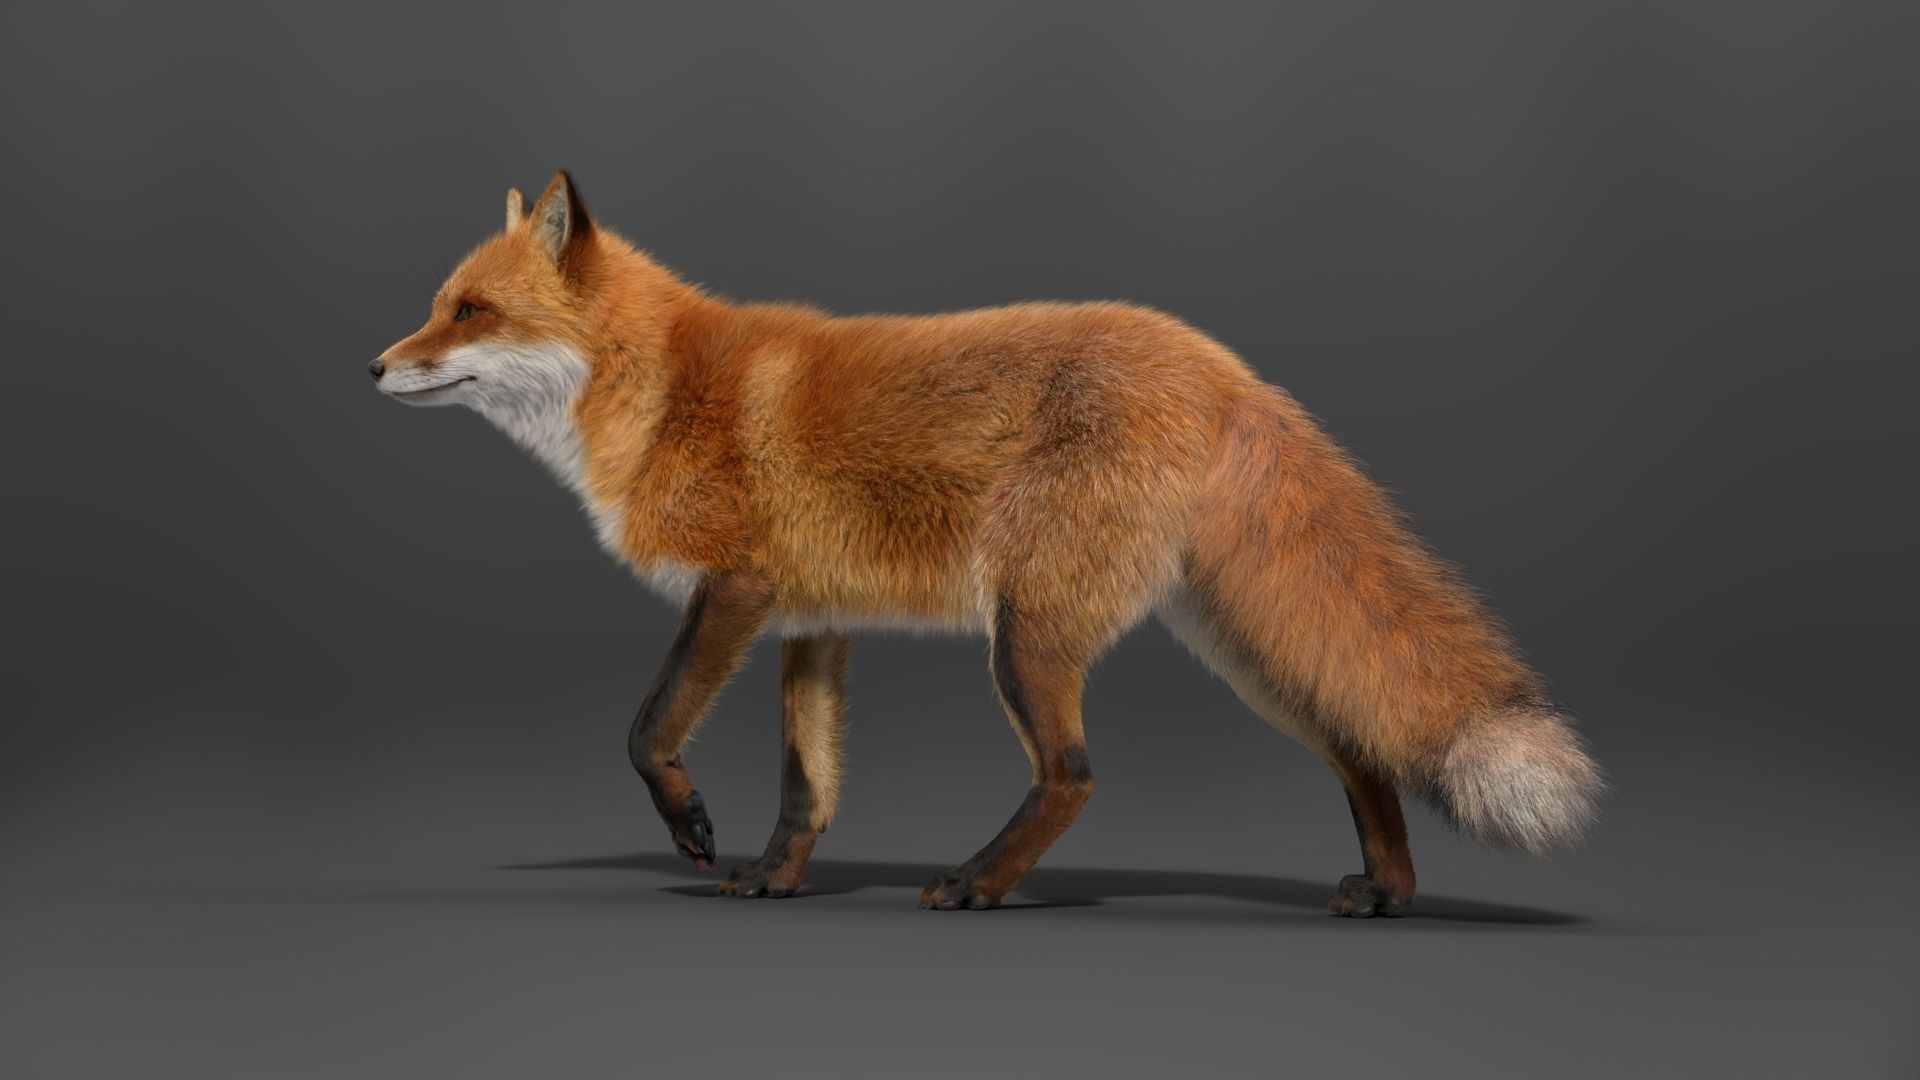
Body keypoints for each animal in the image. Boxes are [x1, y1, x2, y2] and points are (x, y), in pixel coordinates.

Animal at [372, 170, 1602, 917]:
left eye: (469, 312)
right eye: (439, 304)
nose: (373, 366)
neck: (663, 391)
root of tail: (1225, 365)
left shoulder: (734, 589)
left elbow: (647, 727)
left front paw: (691, 829)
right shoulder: (812, 621)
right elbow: (806, 785)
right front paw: (773, 876)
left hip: (1027, 633)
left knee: (1073, 774)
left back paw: (976, 882)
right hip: (1237, 654)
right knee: (1358, 744)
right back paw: (1388, 892)